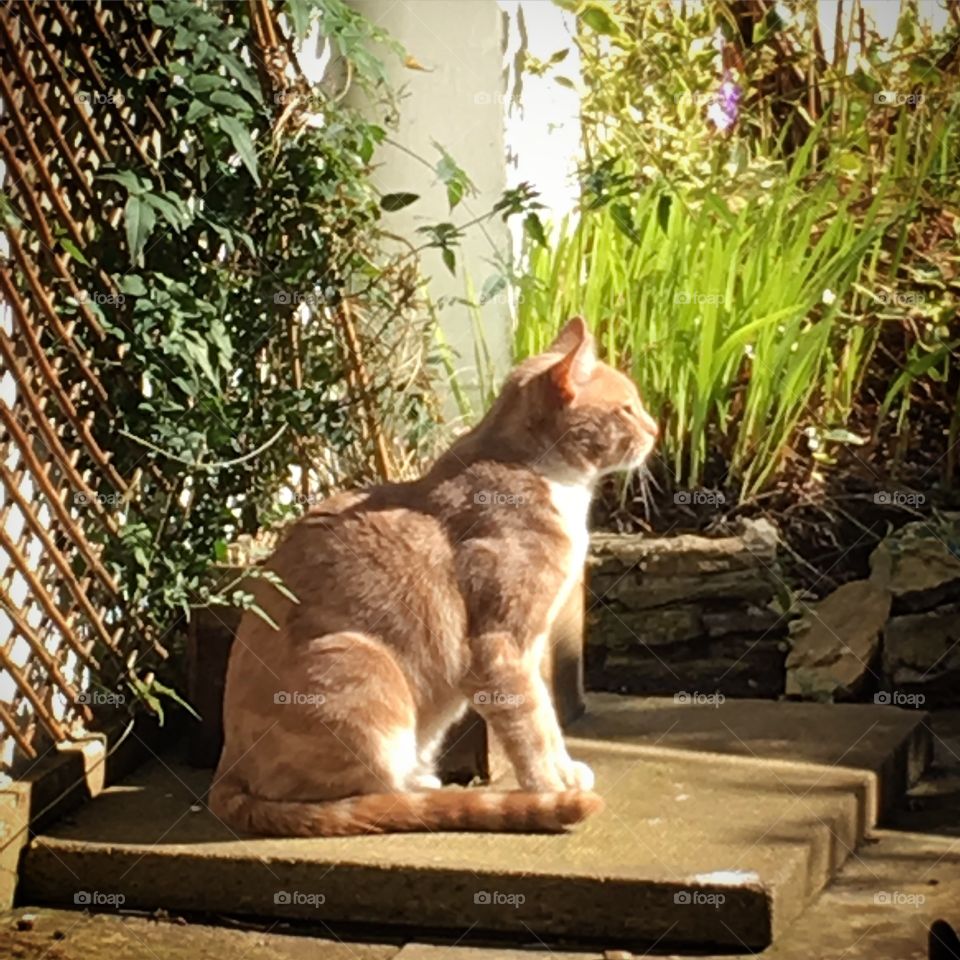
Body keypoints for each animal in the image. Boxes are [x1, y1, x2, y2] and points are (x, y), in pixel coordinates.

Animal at [210, 318, 660, 836]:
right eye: (627, 409)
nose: (657, 428)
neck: (549, 481)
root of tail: (226, 765)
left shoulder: (532, 646)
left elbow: (546, 716)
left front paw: (564, 772)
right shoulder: (499, 647)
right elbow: (529, 726)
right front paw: (549, 787)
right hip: (359, 665)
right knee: (354, 797)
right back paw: (415, 794)